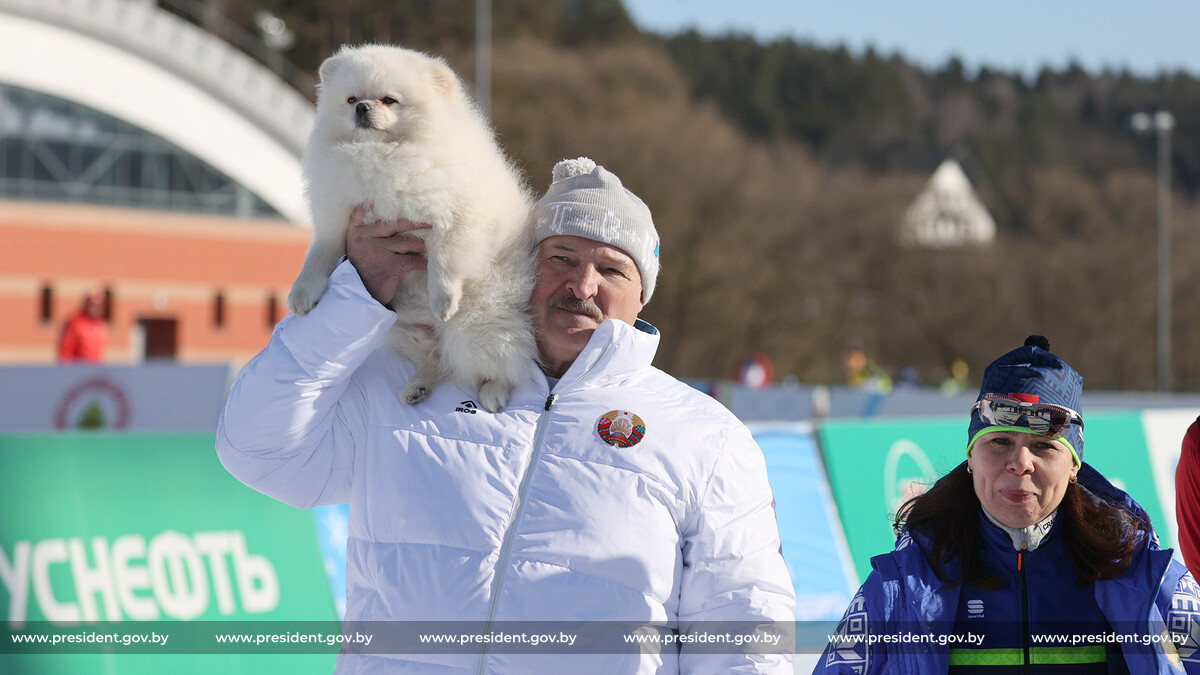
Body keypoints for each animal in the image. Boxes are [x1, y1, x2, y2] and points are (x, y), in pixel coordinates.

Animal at [285, 45, 535, 410]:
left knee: (502, 361)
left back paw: (494, 391)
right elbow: (318, 258)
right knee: (435, 360)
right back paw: (418, 386)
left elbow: (443, 262)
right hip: (399, 326)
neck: (378, 153)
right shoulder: (338, 222)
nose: (362, 107)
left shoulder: (454, 217)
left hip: (477, 324)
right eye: (351, 99)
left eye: (389, 100)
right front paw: (302, 294)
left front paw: (443, 299)